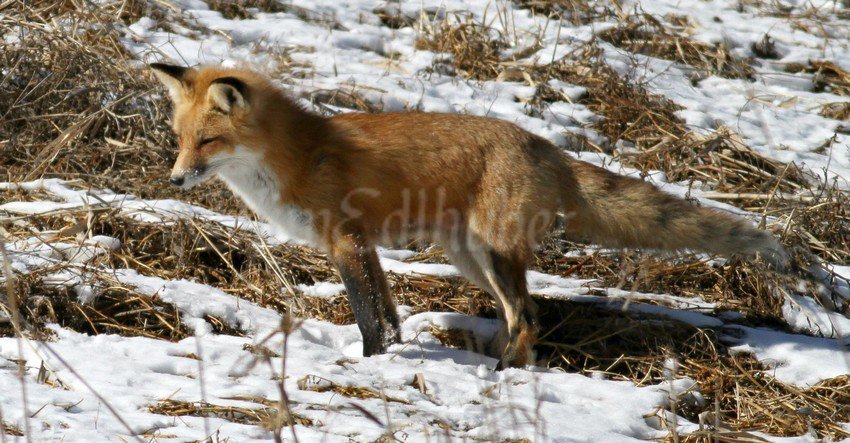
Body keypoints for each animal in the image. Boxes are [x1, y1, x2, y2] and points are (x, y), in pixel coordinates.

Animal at [149, 63, 787, 368]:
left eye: (207, 141)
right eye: (179, 139)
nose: (175, 179)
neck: (301, 155)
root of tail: (546, 146)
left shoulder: (347, 242)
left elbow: (369, 319)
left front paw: (369, 366)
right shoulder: (366, 248)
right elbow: (389, 315)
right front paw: (392, 356)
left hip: (493, 255)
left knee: (528, 315)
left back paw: (504, 377)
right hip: (471, 259)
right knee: (523, 316)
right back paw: (509, 368)